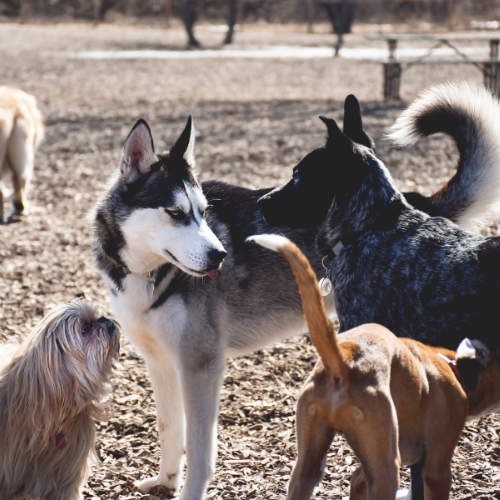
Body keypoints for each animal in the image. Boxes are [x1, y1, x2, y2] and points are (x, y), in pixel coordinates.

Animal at [250, 234, 500, 500]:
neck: (454, 367)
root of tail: (344, 360)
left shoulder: (364, 469)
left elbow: (357, 480)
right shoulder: (436, 469)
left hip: (308, 464)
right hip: (386, 468)